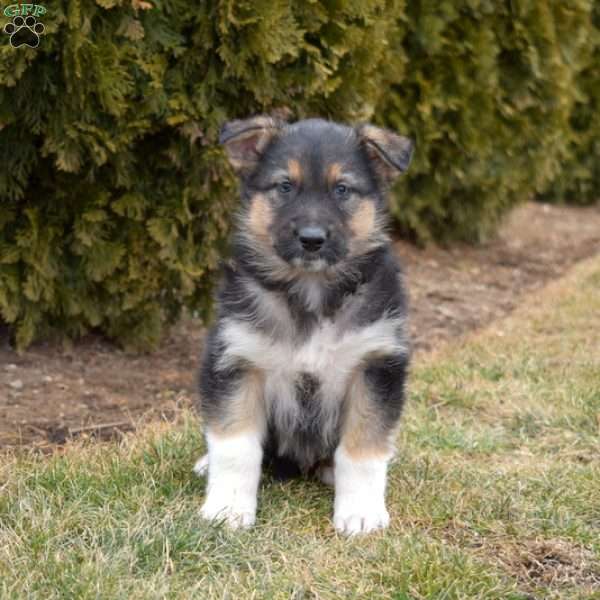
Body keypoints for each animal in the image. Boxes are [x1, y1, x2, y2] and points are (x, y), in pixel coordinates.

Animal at [195, 117, 414, 536]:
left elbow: (362, 449)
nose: (312, 240)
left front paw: (360, 513)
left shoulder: (375, 364)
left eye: (342, 189)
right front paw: (228, 509)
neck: (311, 293)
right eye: (285, 186)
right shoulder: (236, 359)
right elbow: (235, 447)